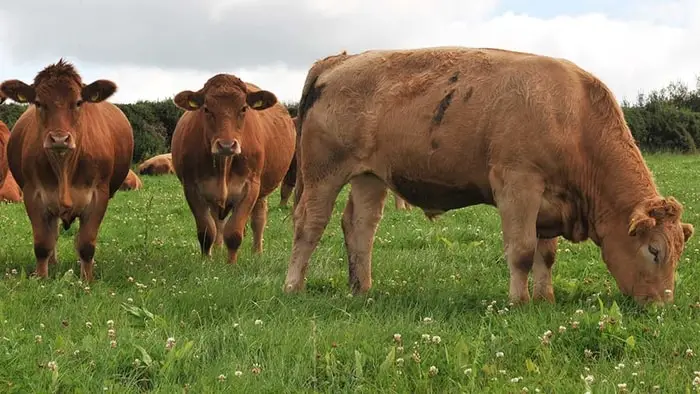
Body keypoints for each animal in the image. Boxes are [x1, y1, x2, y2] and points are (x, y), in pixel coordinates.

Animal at [1, 58, 134, 280]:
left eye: (78, 102)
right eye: (39, 103)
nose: (59, 139)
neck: (64, 167)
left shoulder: (99, 194)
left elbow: (86, 244)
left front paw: (87, 279)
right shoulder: (32, 194)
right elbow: (42, 243)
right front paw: (41, 277)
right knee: (52, 233)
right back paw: (53, 263)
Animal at [174, 74, 298, 264]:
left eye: (244, 108)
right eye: (206, 109)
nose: (226, 145)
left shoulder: (250, 187)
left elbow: (234, 233)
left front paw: (231, 264)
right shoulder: (191, 188)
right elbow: (206, 231)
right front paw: (206, 261)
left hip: (262, 191)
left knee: (258, 219)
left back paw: (257, 252)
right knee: (218, 222)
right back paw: (217, 249)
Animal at [284, 46, 696, 304]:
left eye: (679, 252)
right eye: (654, 250)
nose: (661, 306)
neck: (573, 116)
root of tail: (338, 61)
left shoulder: (550, 202)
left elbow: (546, 255)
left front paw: (545, 298)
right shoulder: (518, 185)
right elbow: (523, 251)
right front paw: (520, 301)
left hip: (369, 177)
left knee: (360, 228)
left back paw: (362, 289)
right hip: (323, 173)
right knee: (309, 224)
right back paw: (293, 286)